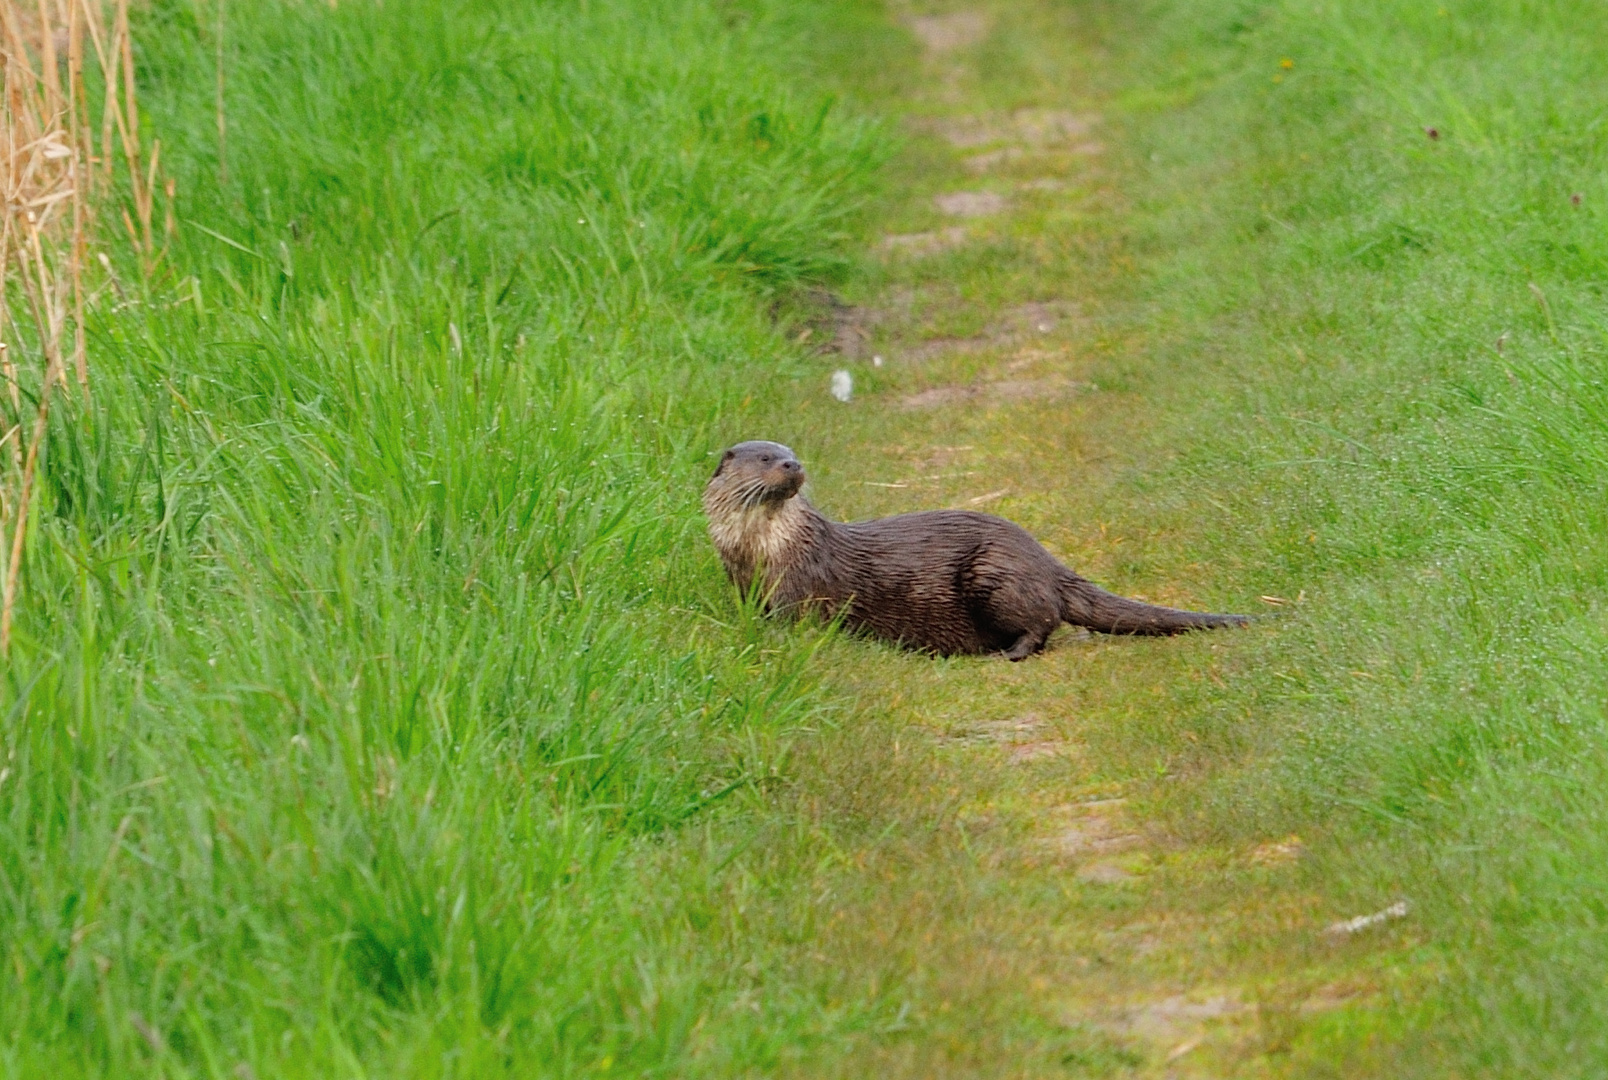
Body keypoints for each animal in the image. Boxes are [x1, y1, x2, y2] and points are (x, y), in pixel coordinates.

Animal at [701, 437, 1241, 658]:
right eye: (767, 458)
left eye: (793, 454)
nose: (793, 466)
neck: (758, 554)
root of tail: (1044, 558)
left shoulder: (800, 584)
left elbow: (793, 622)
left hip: (995, 573)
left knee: (1043, 620)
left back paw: (1008, 654)